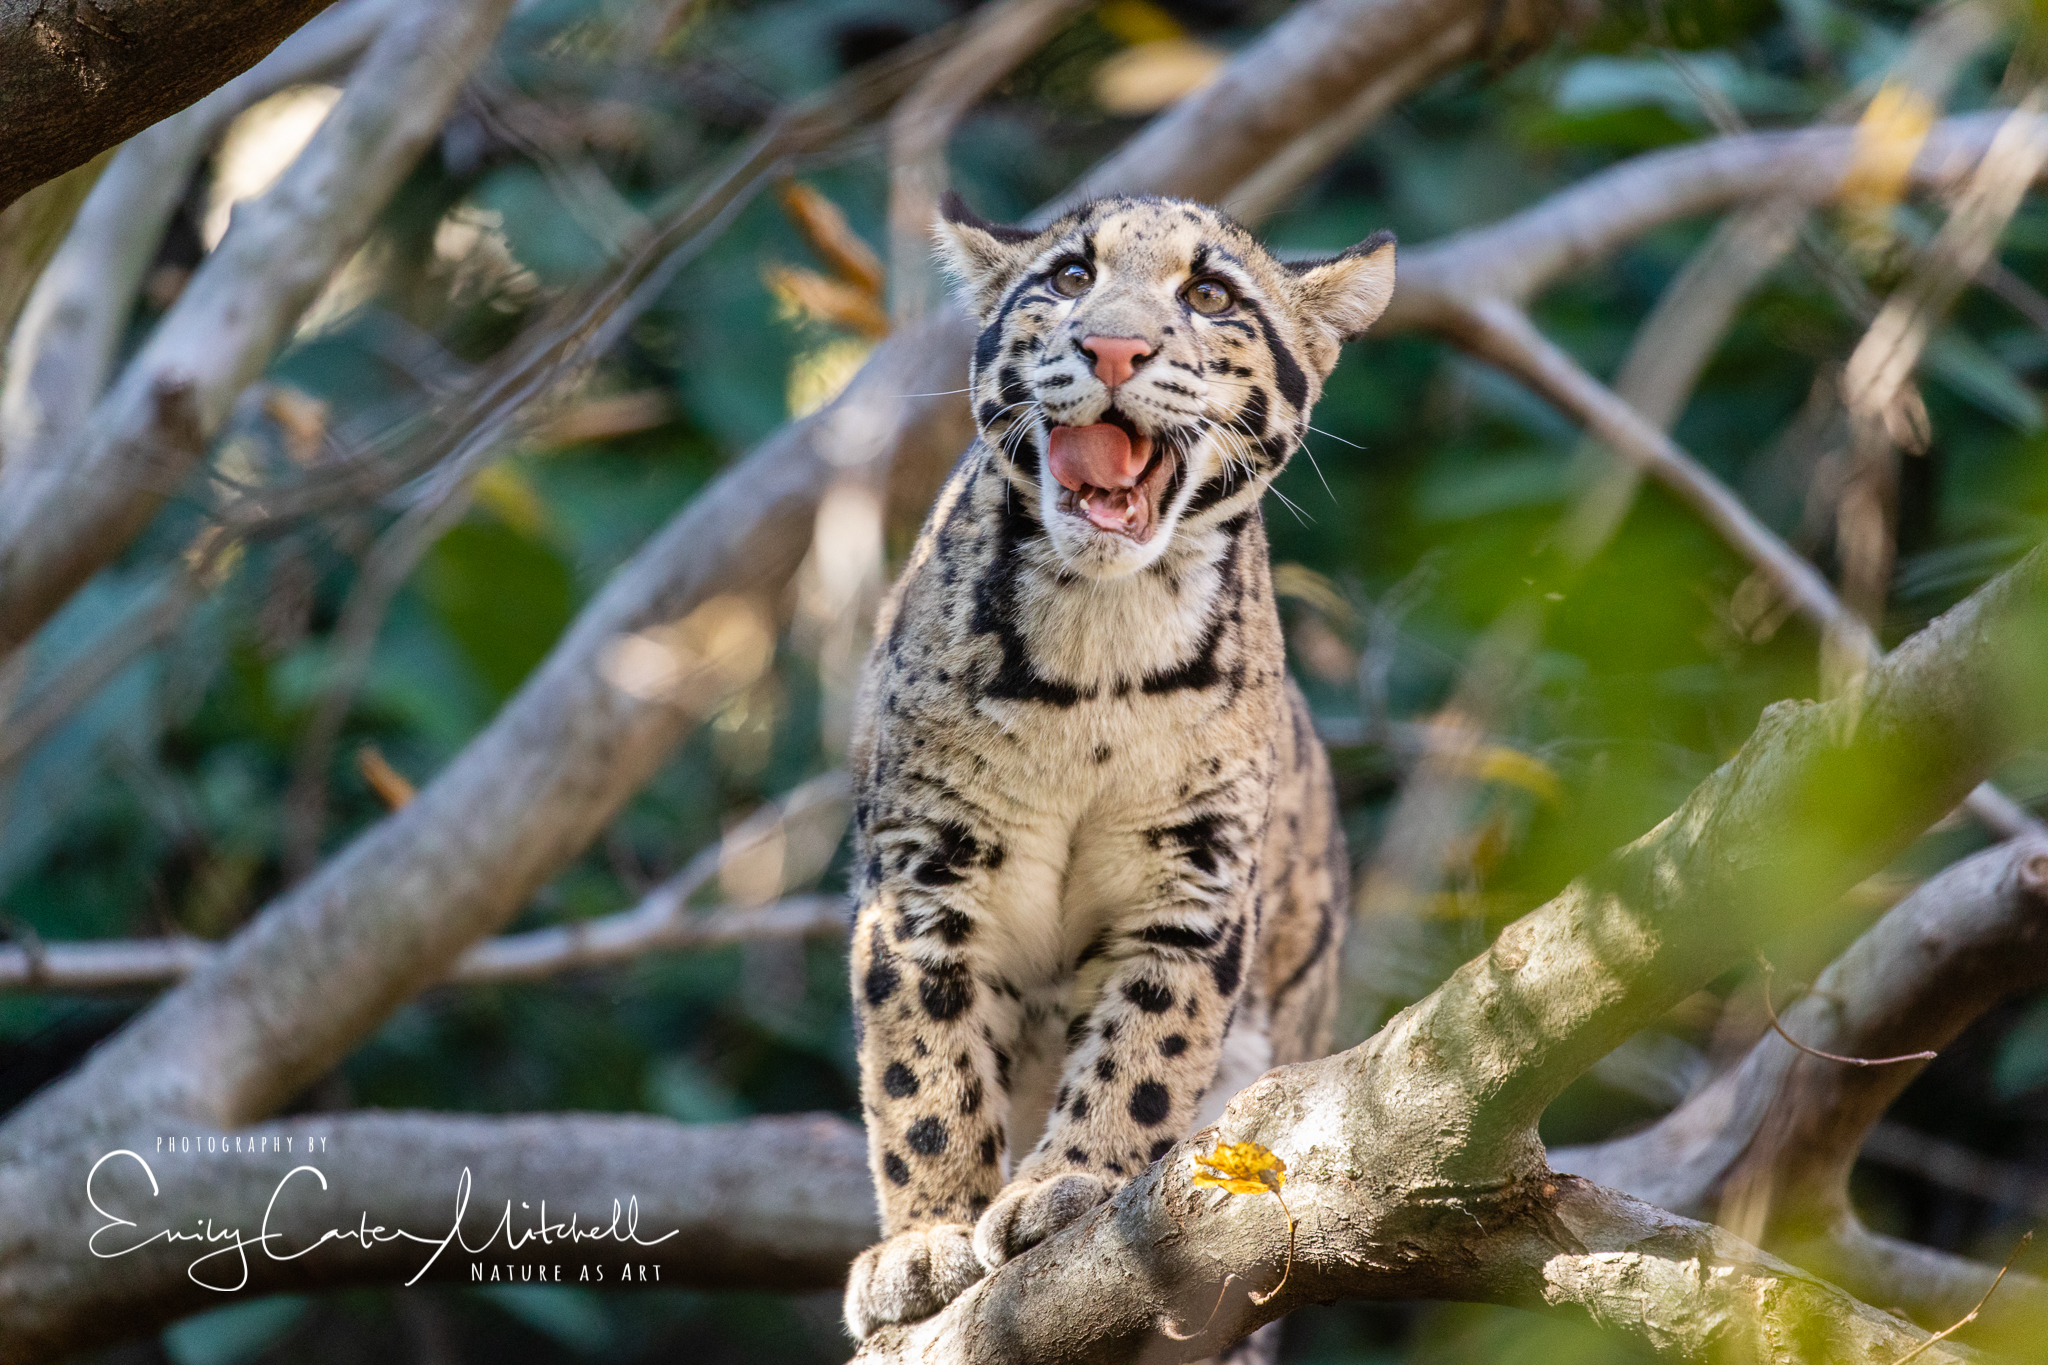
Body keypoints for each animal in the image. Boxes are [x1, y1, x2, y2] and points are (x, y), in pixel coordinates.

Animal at [842, 191, 1394, 1352]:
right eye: (1068, 278)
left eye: (1210, 293)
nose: (1110, 346)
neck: (1099, 641)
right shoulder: (920, 871)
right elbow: (919, 1066)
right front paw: (922, 1244)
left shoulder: (1194, 876)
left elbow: (1146, 1046)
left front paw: (1068, 1185)